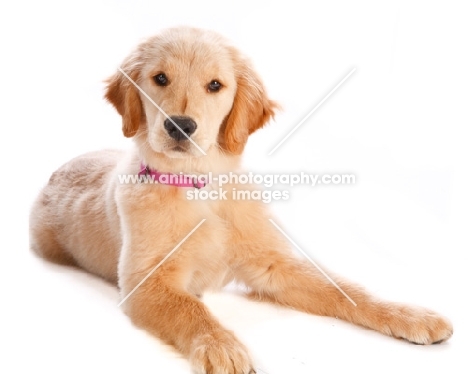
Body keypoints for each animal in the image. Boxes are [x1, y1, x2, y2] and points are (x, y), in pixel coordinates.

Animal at [30, 28, 454, 374]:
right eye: (160, 78)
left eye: (215, 85)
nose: (180, 125)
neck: (200, 186)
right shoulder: (146, 280)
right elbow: (191, 309)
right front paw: (220, 345)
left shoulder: (273, 265)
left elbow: (344, 288)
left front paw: (410, 315)